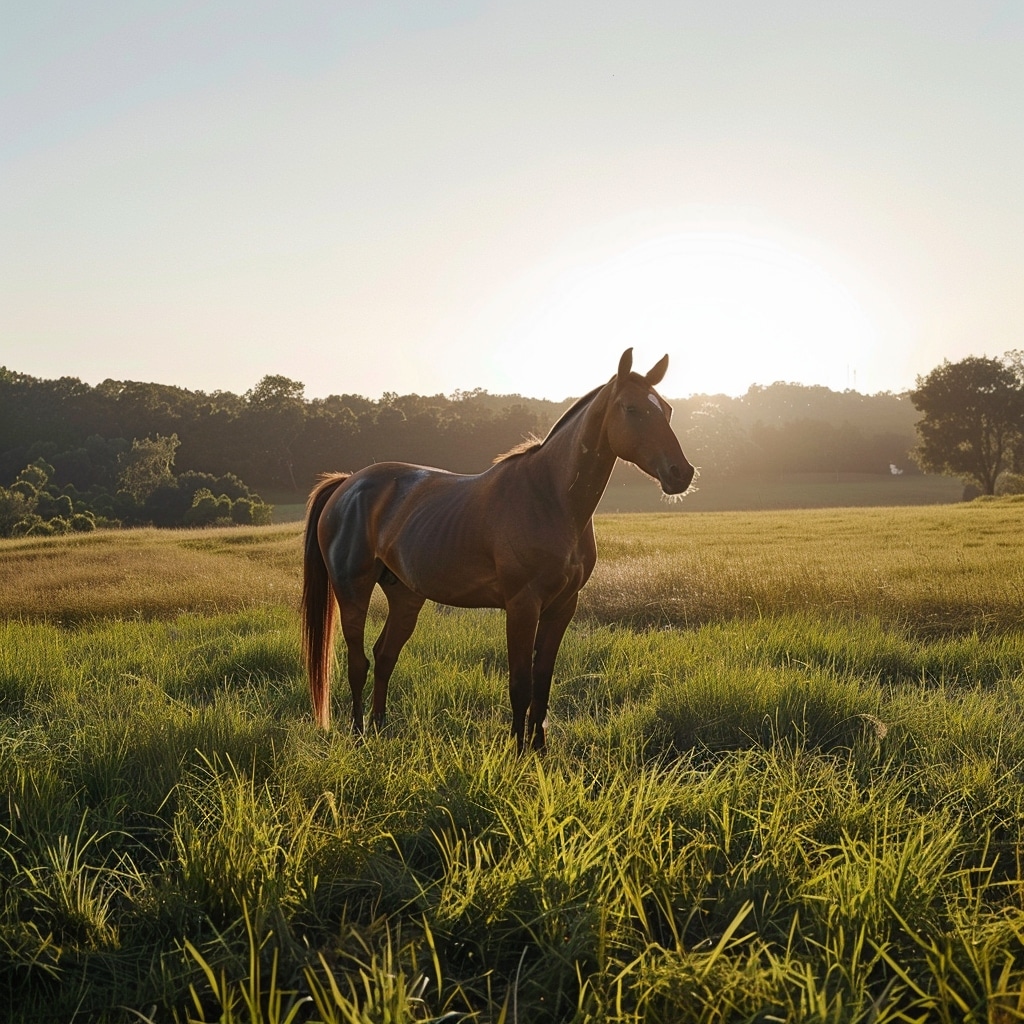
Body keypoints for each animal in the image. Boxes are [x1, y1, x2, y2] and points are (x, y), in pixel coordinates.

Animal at [299, 346, 692, 753]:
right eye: (631, 408)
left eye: (667, 409)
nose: (681, 473)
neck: (550, 497)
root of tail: (348, 484)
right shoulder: (522, 605)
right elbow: (520, 684)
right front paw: (519, 751)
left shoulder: (562, 606)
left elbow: (542, 681)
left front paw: (539, 749)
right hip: (352, 591)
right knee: (358, 662)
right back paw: (359, 734)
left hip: (405, 596)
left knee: (384, 655)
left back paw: (379, 728)